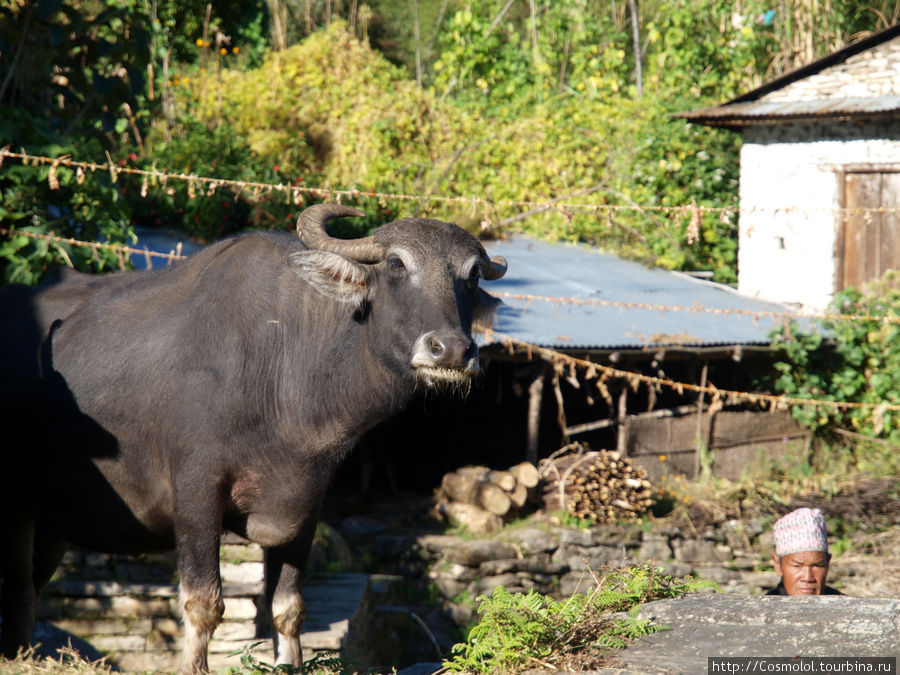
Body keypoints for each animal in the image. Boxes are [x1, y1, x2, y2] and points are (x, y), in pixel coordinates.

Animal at [0, 205, 506, 672]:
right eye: (398, 264)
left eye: (472, 276)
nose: (452, 350)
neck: (283, 372)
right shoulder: (197, 495)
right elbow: (203, 604)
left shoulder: (306, 504)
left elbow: (289, 609)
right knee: (19, 586)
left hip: (53, 521)